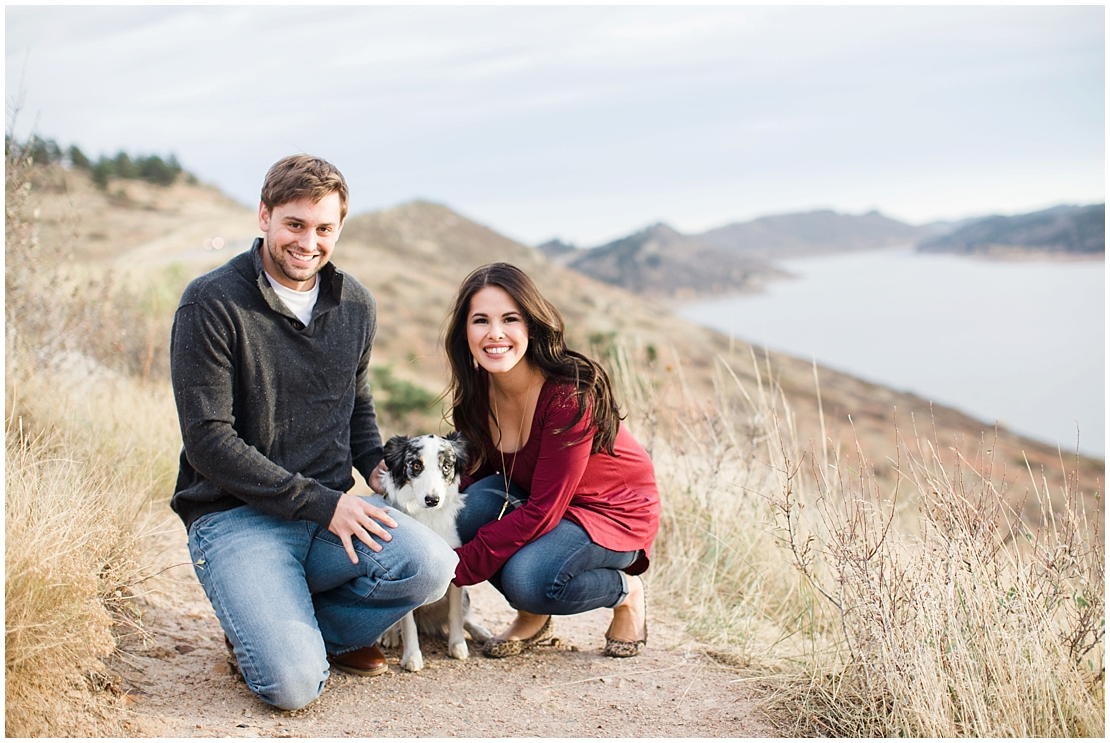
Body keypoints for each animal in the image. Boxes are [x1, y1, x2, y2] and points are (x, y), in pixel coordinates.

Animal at [377, 430, 490, 670]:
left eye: (446, 466)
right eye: (416, 465)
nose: (432, 500)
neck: (427, 517)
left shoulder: (457, 565)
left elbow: (456, 615)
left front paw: (457, 646)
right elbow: (407, 624)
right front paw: (412, 657)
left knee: (465, 616)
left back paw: (481, 632)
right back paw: (389, 636)